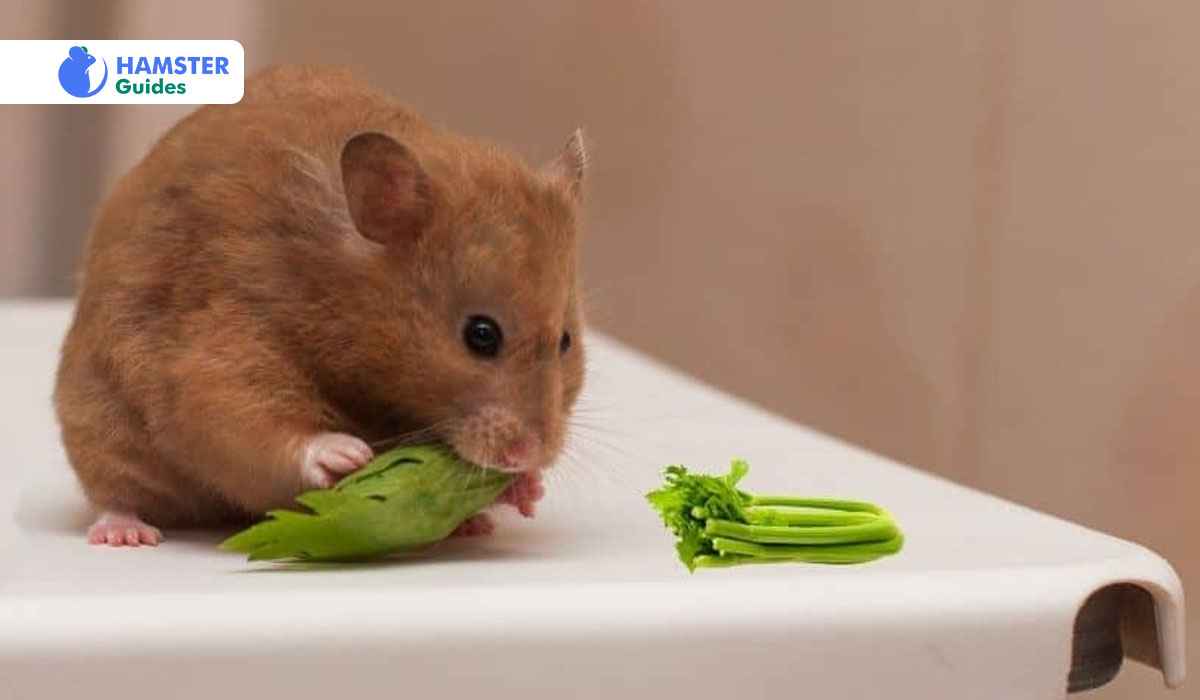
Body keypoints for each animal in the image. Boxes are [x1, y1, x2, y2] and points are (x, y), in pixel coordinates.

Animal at [53, 65, 588, 546]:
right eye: (481, 335)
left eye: (565, 340)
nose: (531, 454)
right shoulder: (222, 339)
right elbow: (242, 414)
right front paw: (348, 455)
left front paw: (527, 489)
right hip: (98, 425)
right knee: (115, 493)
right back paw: (127, 533)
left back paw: (471, 524)